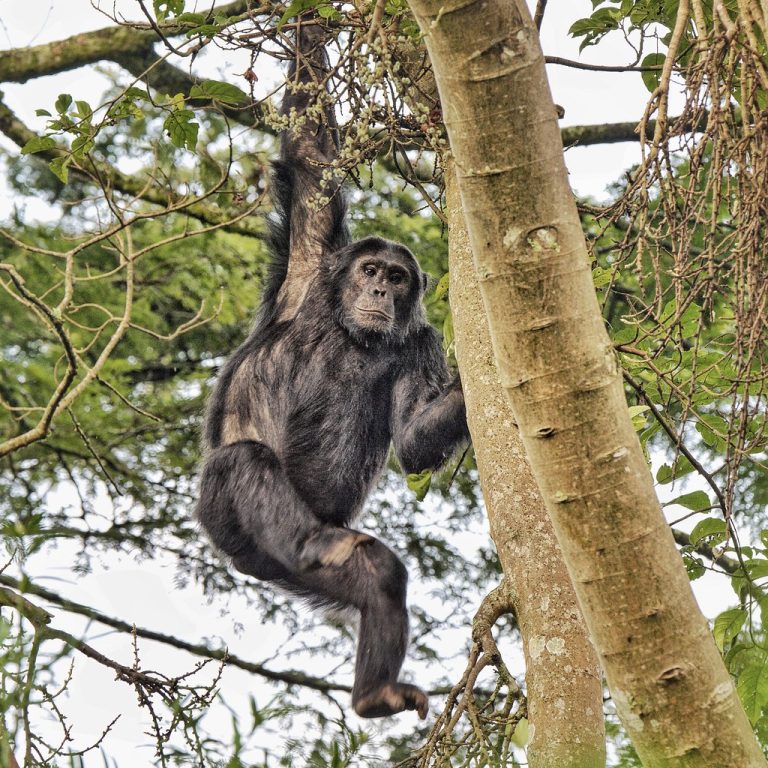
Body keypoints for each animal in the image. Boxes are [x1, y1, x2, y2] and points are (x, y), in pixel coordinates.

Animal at [196, 18, 469, 719]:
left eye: (397, 279)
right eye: (370, 270)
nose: (378, 290)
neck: (352, 332)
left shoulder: (420, 344)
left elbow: (415, 439)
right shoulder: (310, 259)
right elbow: (309, 156)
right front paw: (313, 24)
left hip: (299, 573)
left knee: (378, 575)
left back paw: (374, 694)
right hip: (225, 515)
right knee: (246, 463)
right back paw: (313, 541)